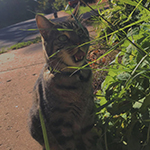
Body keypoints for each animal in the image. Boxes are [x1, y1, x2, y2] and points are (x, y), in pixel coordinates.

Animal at [28, 3, 99, 150]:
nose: (79, 42)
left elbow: (91, 140)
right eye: (62, 38)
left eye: (80, 31)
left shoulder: (88, 116)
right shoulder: (60, 124)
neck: (76, 78)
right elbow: (68, 146)